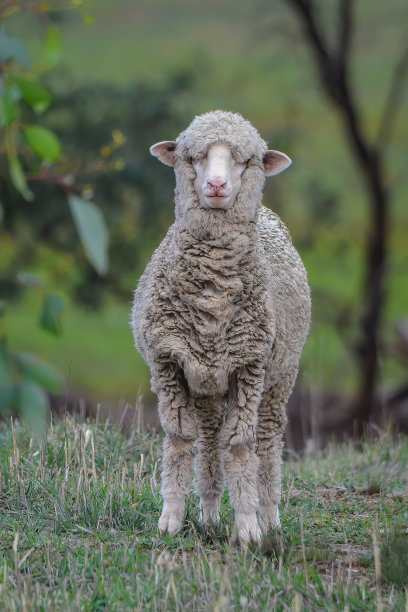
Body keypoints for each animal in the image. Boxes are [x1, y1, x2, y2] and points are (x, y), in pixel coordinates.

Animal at [132, 111, 310, 544]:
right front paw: (170, 519)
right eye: (193, 156)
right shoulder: (168, 362)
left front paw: (247, 527)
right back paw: (210, 512)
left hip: (280, 375)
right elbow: (180, 439)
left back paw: (269, 516)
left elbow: (241, 446)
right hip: (207, 380)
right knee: (210, 438)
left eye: (246, 161)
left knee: (267, 437)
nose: (216, 185)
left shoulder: (249, 365)